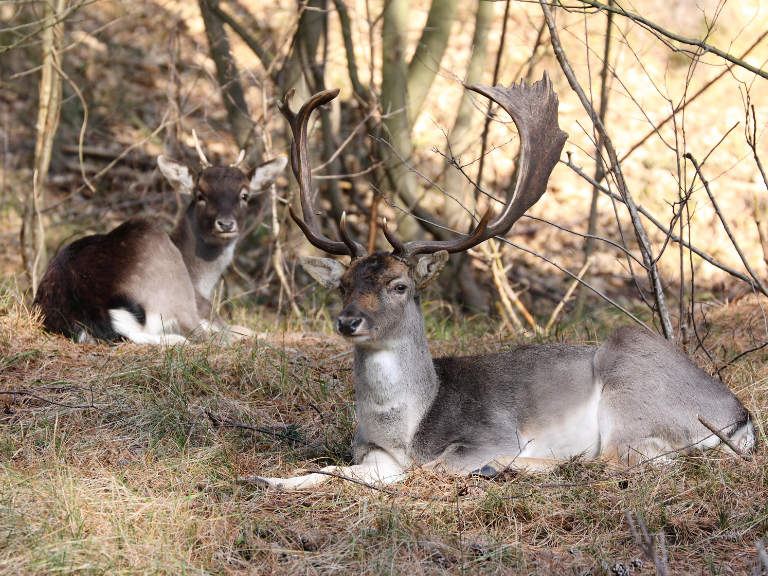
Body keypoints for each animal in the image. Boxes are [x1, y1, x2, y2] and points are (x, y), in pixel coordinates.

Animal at [33, 133, 288, 344]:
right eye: (200, 195)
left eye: (244, 195)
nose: (225, 224)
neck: (201, 281)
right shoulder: (204, 308)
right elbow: (240, 330)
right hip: (167, 276)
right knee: (205, 336)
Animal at [255, 77, 752, 490]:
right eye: (343, 284)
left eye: (400, 286)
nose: (349, 321)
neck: (406, 429)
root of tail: (740, 416)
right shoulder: (370, 453)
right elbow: (332, 468)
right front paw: (270, 479)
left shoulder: (487, 432)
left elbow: (427, 468)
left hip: (633, 387)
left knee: (621, 459)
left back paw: (514, 466)